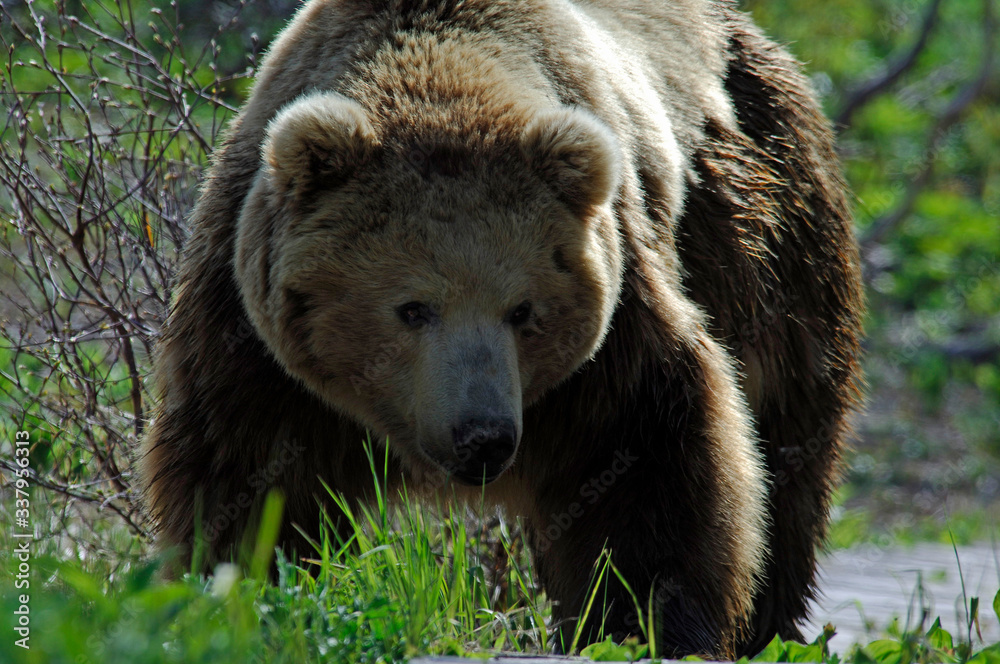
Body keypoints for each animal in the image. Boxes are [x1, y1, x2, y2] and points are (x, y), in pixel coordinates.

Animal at [138, 0, 864, 659]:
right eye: (412, 308)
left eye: (523, 310)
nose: (483, 436)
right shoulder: (258, 348)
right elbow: (248, 480)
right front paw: (244, 592)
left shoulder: (615, 332)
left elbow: (647, 472)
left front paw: (641, 624)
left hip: (771, 245)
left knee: (788, 457)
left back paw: (771, 623)